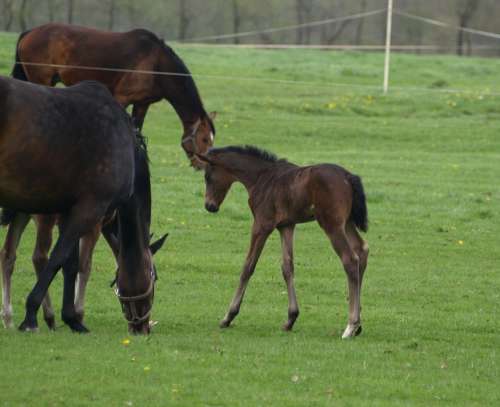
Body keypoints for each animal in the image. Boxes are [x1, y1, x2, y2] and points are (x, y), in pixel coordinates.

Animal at [0, 77, 168, 334]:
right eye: (154, 276)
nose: (142, 328)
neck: (124, 140)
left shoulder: (69, 212)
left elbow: (70, 264)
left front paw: (71, 318)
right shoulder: (90, 211)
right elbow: (60, 259)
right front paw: (31, 315)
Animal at [197, 146, 370, 338]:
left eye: (208, 177)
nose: (209, 206)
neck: (262, 178)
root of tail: (348, 176)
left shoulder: (262, 225)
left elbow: (248, 266)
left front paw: (228, 316)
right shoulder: (286, 226)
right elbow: (287, 267)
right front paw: (290, 319)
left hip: (332, 224)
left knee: (350, 259)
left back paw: (351, 325)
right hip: (346, 223)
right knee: (362, 250)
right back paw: (358, 324)